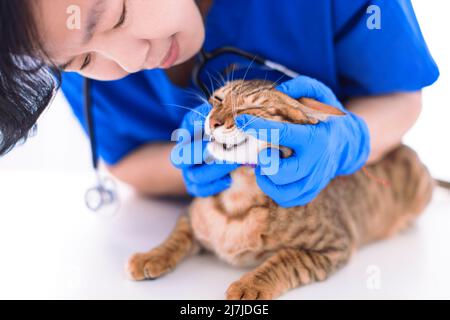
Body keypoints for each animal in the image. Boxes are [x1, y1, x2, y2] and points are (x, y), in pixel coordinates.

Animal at [125, 80, 434, 300]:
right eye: (217, 100)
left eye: (247, 111)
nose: (212, 121)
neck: (236, 200)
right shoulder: (190, 215)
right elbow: (177, 236)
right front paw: (152, 256)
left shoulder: (335, 246)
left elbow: (286, 260)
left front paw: (251, 285)